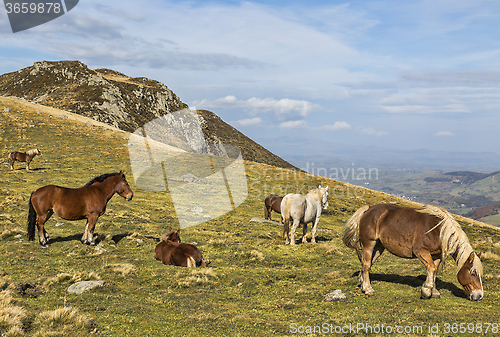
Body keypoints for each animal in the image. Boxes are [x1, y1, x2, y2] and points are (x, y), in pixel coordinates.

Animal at [342, 203, 482, 300]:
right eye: (473, 273)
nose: (479, 295)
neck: (439, 231)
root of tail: (369, 208)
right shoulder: (420, 251)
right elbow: (430, 268)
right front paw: (426, 291)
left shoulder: (436, 255)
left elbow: (434, 270)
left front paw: (434, 291)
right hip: (369, 243)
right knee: (366, 264)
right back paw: (368, 289)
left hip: (379, 247)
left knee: (367, 263)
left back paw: (362, 282)